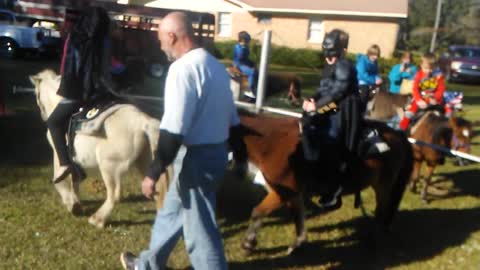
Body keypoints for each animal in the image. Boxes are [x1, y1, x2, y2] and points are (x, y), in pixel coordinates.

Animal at [29, 69, 170, 228]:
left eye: (36, 94)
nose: (43, 116)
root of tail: (143, 122)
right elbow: (75, 181)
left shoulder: (59, 156)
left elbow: (61, 179)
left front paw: (73, 205)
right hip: (145, 165)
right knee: (157, 191)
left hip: (109, 167)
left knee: (114, 195)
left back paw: (97, 219)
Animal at [229, 109, 412, 253]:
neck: (272, 142)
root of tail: (397, 134)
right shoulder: (291, 193)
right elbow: (298, 216)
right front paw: (298, 243)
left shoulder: (283, 193)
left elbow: (257, 212)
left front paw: (248, 243)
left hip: (383, 186)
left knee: (381, 211)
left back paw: (373, 239)